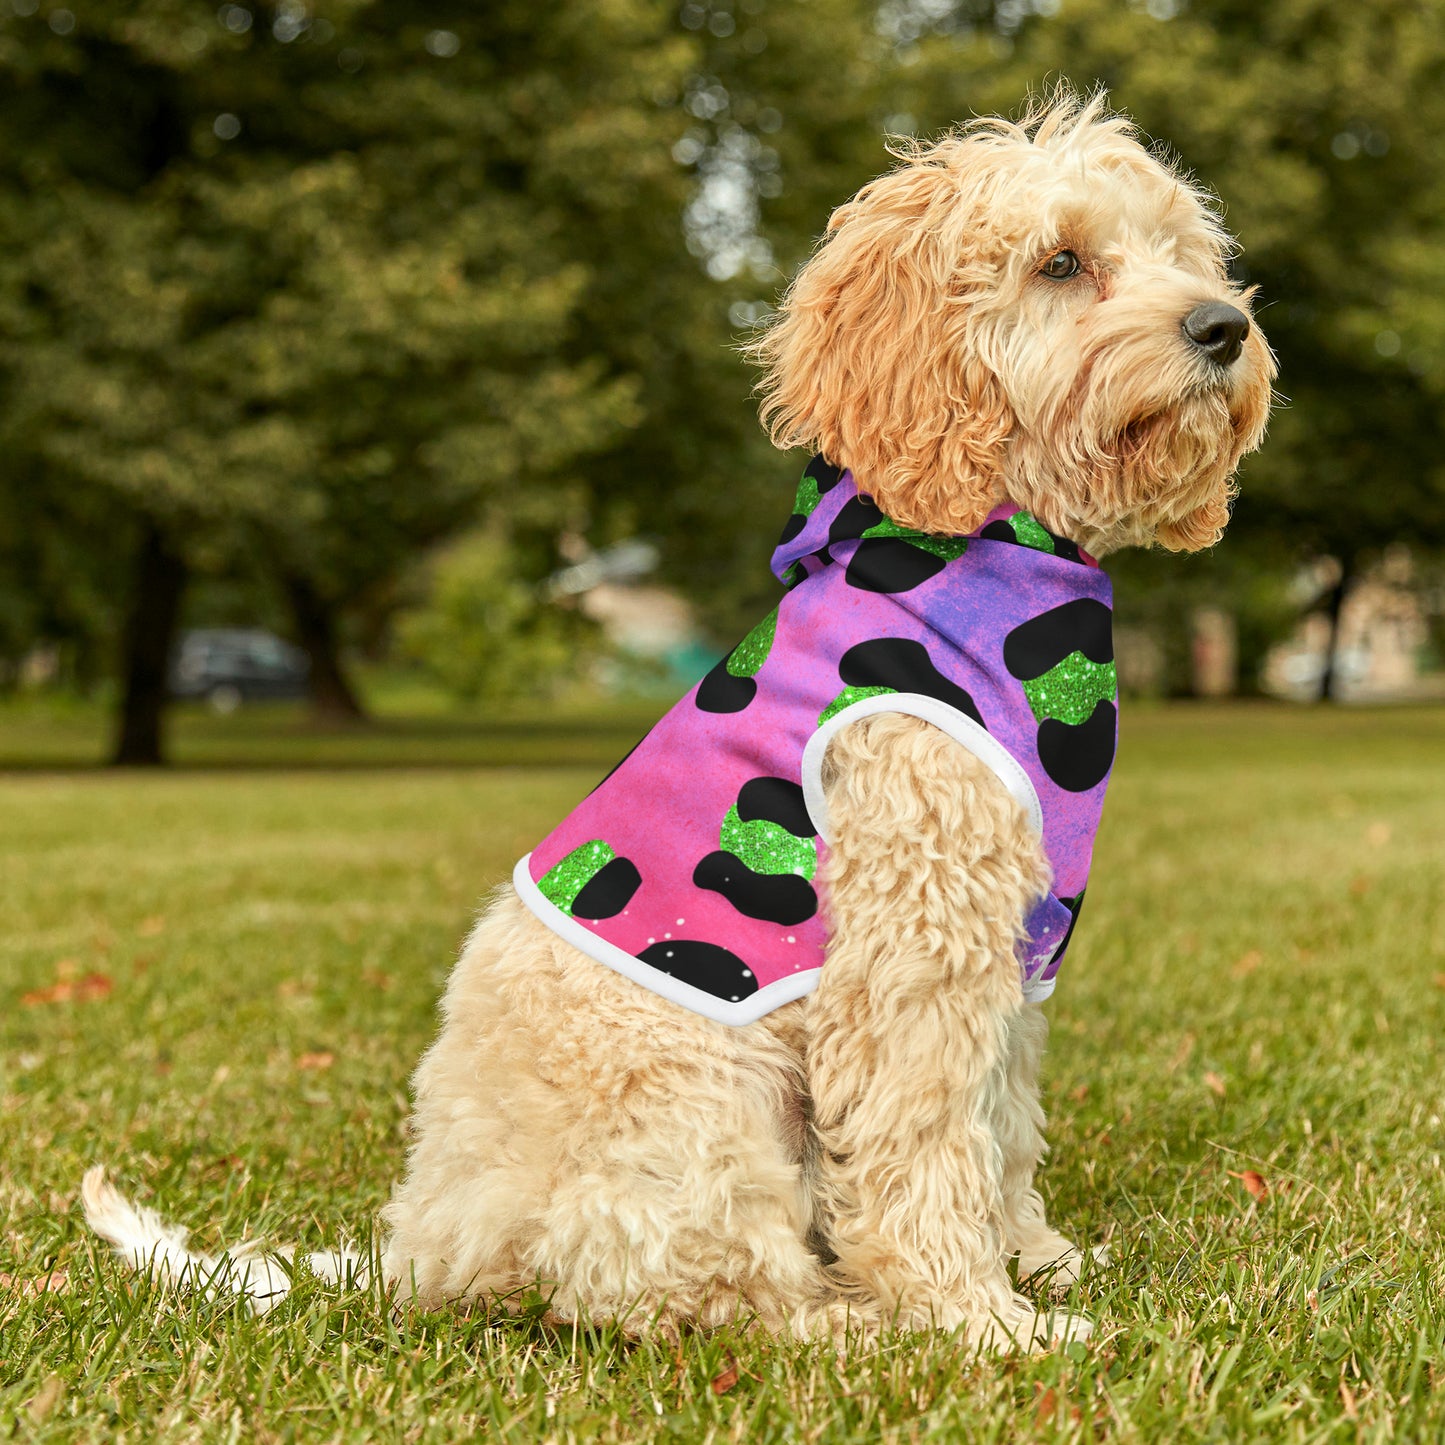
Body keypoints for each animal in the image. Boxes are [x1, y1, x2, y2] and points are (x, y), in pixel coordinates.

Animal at [84, 93, 1271, 1352]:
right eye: (1059, 262)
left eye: (1181, 252)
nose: (1222, 327)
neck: (988, 548)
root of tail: (424, 1247)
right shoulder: (912, 943)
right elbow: (924, 1140)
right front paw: (976, 1319)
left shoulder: (1009, 945)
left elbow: (998, 1123)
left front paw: (1034, 1259)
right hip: (702, 1099)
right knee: (700, 1290)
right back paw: (851, 1322)